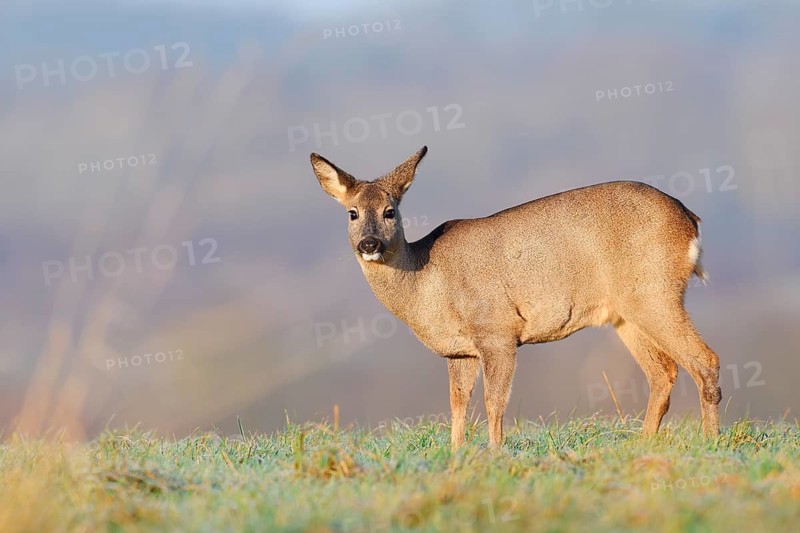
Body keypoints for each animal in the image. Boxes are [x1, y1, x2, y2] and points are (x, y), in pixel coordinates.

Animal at [310, 146, 721, 450]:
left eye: (390, 211)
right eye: (352, 213)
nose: (369, 244)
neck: (427, 284)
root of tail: (691, 220)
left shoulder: (497, 331)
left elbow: (494, 401)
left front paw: (495, 452)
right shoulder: (460, 351)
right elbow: (457, 405)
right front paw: (456, 455)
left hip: (654, 291)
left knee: (705, 359)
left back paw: (710, 443)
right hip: (625, 312)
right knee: (663, 372)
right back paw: (642, 444)